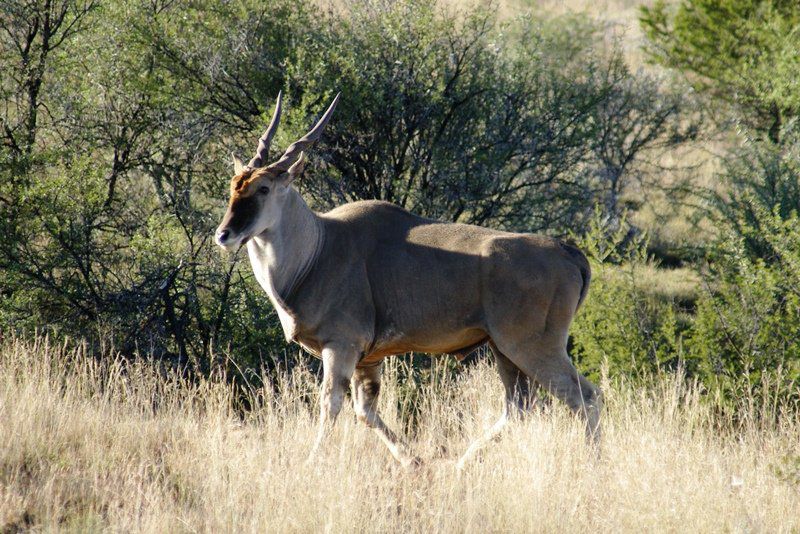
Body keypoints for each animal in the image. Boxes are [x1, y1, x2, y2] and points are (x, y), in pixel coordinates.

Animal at [212, 92, 600, 468]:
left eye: (263, 189)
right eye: (233, 186)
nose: (224, 234)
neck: (319, 248)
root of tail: (567, 252)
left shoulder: (341, 346)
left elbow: (331, 405)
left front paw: (310, 462)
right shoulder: (368, 359)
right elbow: (365, 411)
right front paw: (413, 460)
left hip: (533, 347)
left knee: (584, 396)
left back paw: (590, 464)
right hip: (503, 349)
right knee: (519, 406)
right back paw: (461, 464)